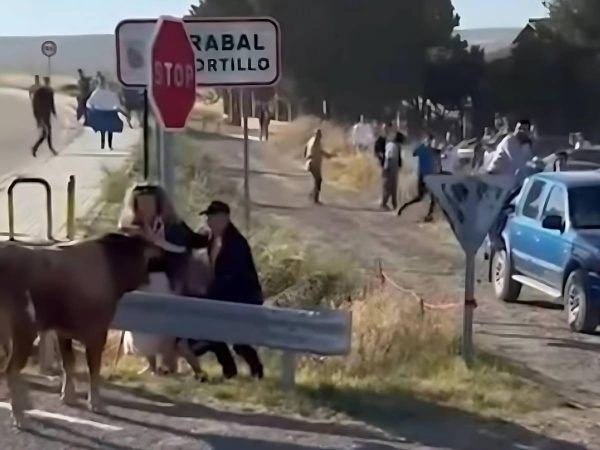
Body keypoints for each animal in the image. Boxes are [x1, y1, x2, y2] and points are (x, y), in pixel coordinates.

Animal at [0, 234, 157, 428]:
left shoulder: (63, 331)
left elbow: (68, 363)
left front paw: (68, 396)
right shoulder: (97, 332)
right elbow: (93, 368)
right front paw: (95, 403)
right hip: (24, 331)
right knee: (11, 369)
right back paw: (20, 416)